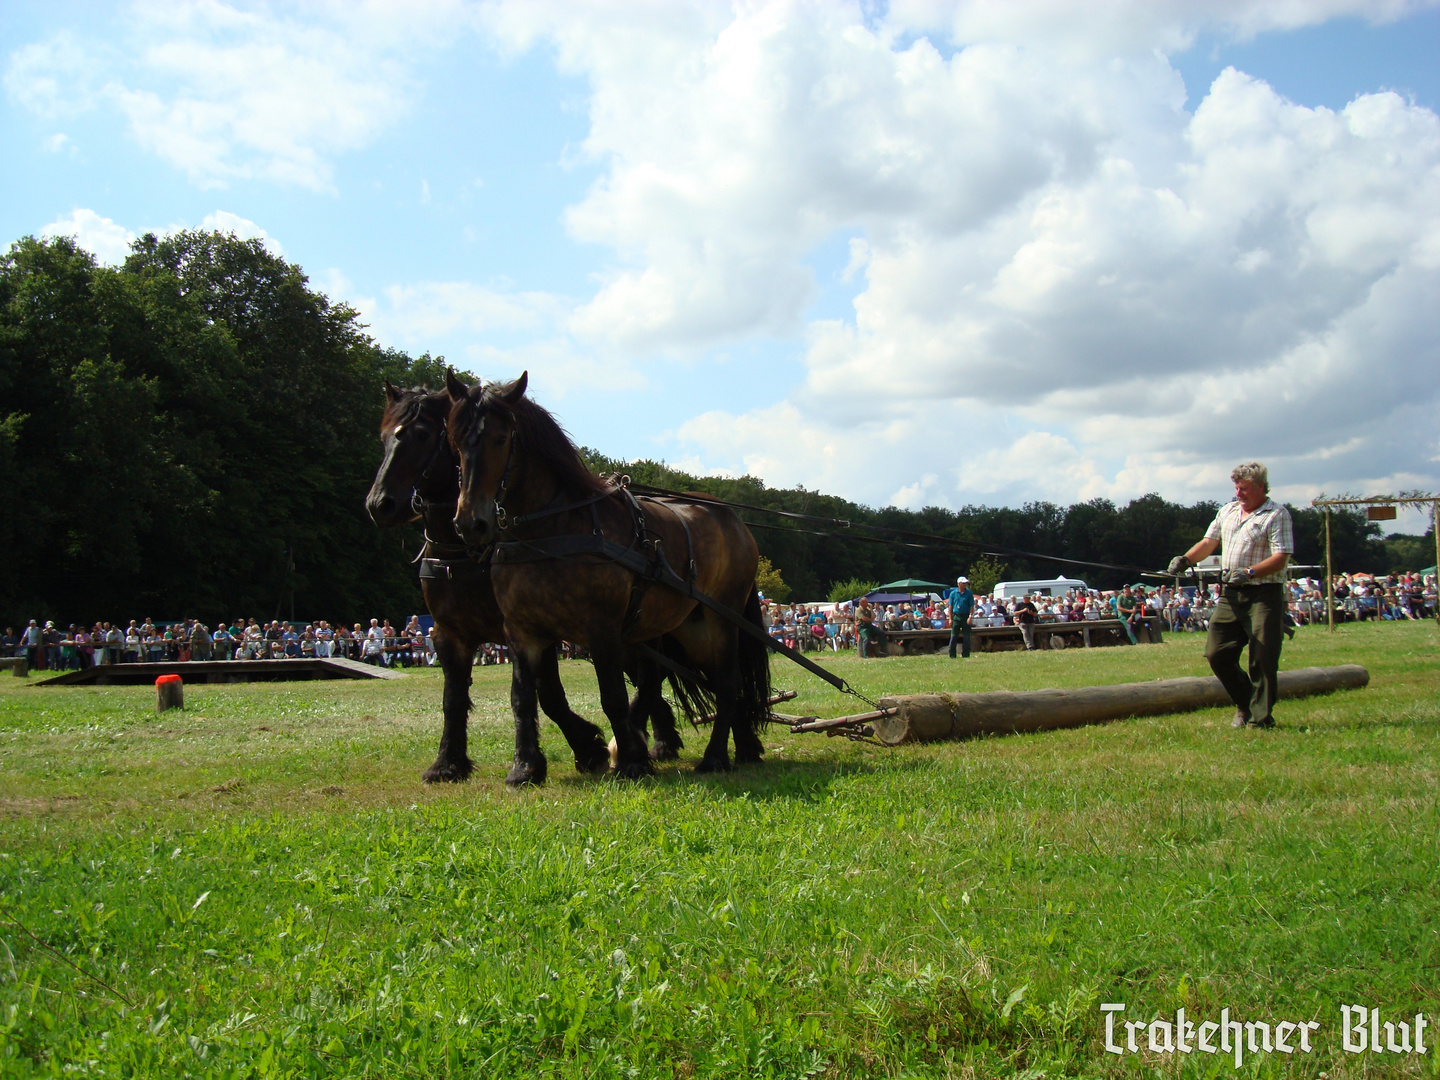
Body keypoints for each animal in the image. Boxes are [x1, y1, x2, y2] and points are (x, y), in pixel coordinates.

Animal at [449, 371, 771, 777]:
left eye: (501, 438)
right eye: (456, 440)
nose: (470, 523)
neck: (552, 529)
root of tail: (732, 518)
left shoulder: (602, 628)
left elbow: (612, 697)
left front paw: (631, 759)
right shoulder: (522, 632)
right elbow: (523, 699)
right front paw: (525, 767)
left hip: (722, 618)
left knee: (727, 683)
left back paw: (714, 756)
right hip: (690, 628)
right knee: (710, 681)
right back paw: (742, 748)